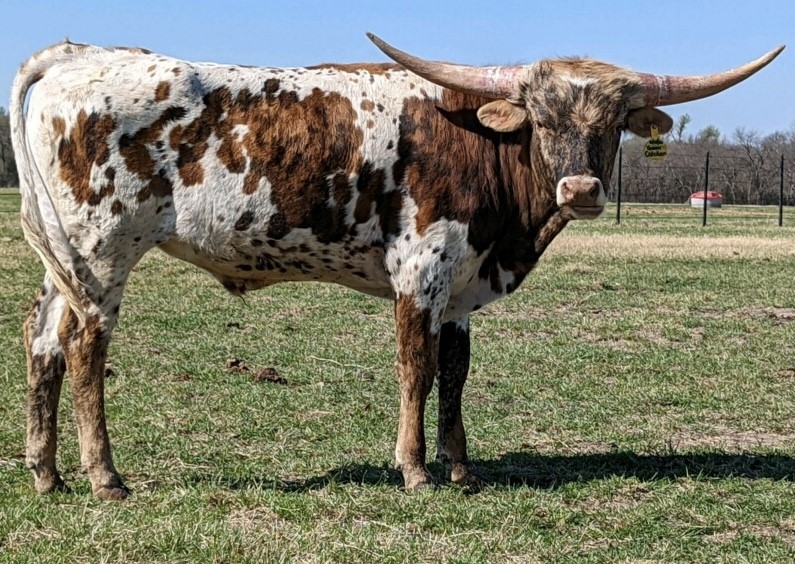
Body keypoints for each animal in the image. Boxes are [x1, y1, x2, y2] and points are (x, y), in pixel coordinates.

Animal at [11, 33, 783, 499]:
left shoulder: (463, 288)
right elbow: (416, 371)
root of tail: (75, 53)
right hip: (103, 249)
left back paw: (46, 474)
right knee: (84, 347)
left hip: (66, 257)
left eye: (614, 123)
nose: (582, 190)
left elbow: (454, 375)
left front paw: (462, 467)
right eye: (540, 117)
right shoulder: (422, 272)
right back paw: (104, 477)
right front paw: (414, 470)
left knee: (43, 340)